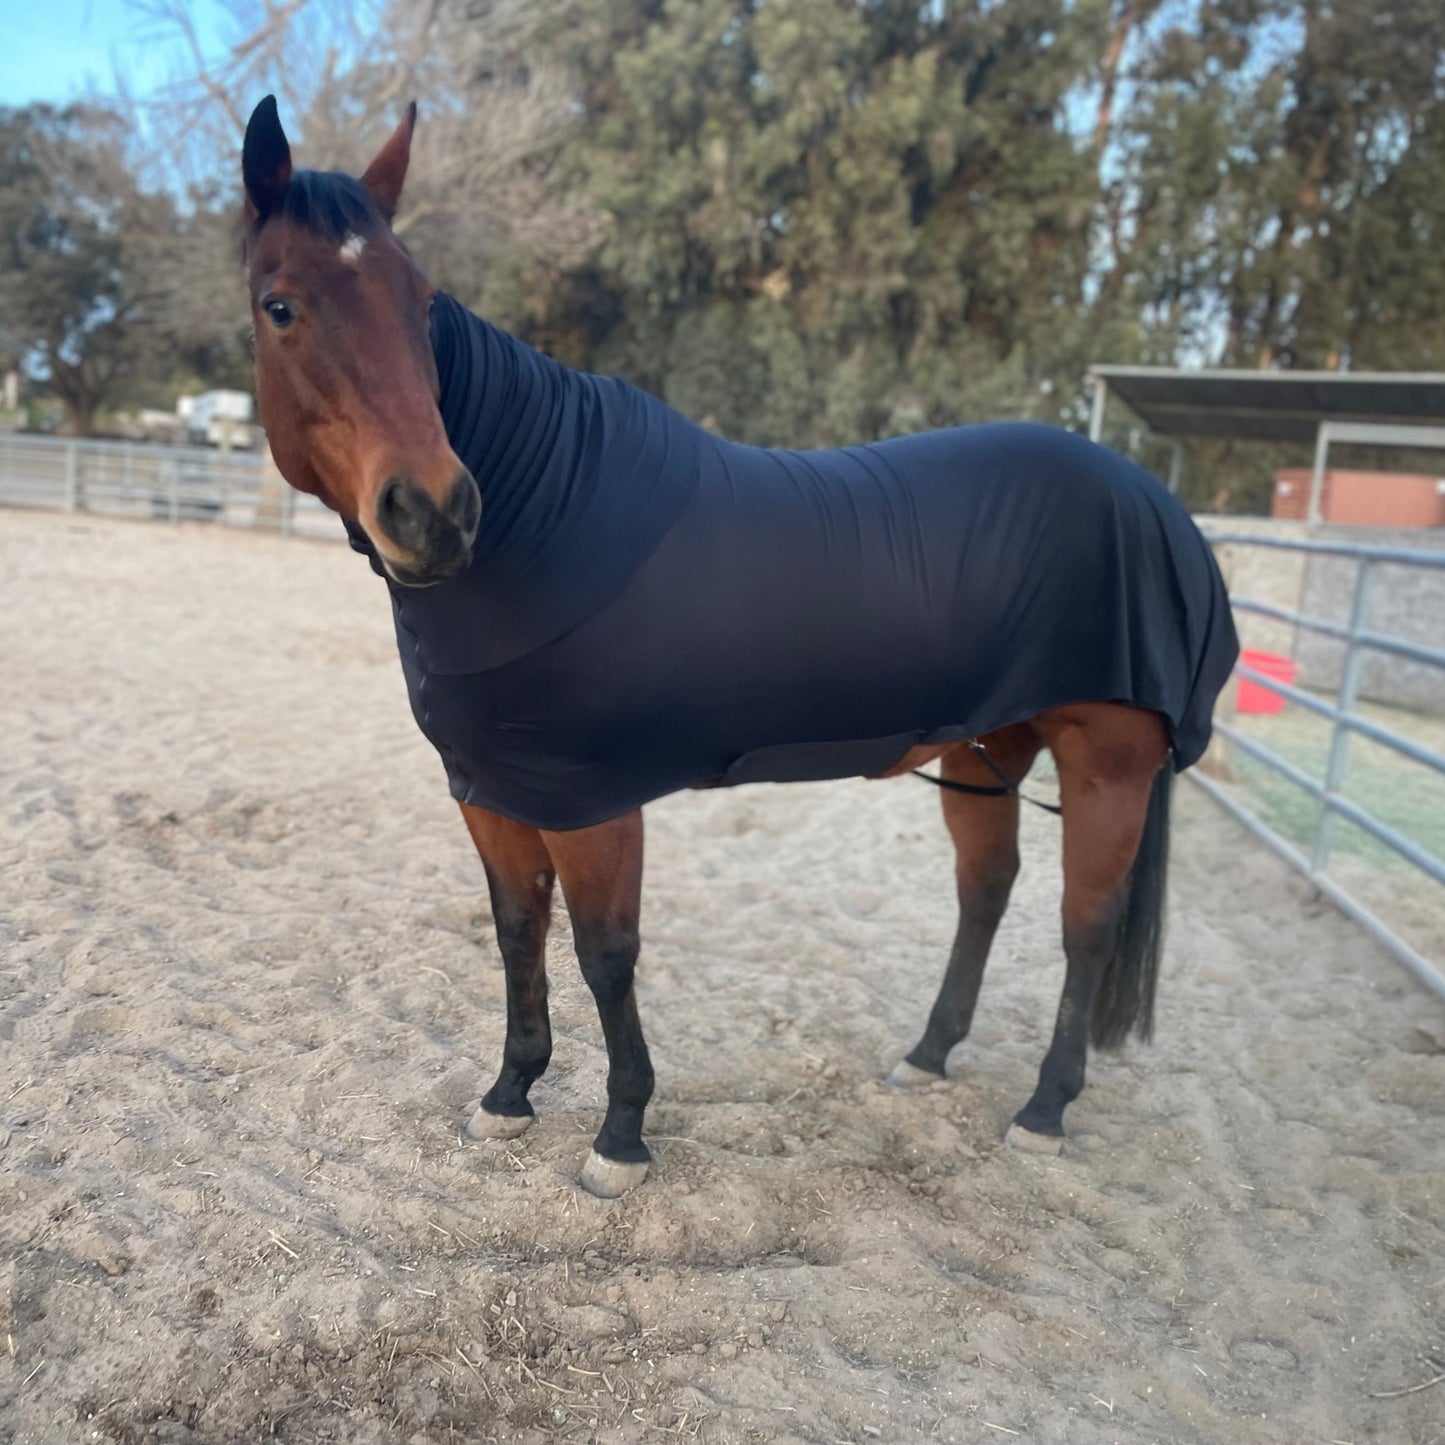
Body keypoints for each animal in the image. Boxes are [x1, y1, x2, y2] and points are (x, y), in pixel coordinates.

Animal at [239, 96, 1239, 1198]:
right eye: (280, 306)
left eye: (421, 303)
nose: (433, 513)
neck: (541, 524)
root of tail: (1153, 501)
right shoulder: (492, 790)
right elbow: (516, 931)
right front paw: (509, 1093)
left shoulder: (590, 801)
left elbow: (605, 951)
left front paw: (620, 1134)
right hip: (985, 751)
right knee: (985, 888)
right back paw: (926, 1055)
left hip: (1107, 764)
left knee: (1083, 924)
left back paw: (1043, 1108)